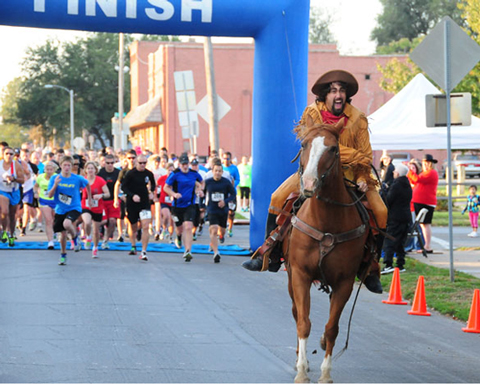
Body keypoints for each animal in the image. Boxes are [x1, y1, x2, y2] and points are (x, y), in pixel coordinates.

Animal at [284, 119, 372, 380]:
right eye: (304, 144)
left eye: (333, 149)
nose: (309, 184)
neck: (326, 222)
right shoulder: (300, 275)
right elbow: (303, 322)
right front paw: (302, 371)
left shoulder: (344, 282)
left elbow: (332, 328)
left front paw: (325, 374)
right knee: (296, 313)